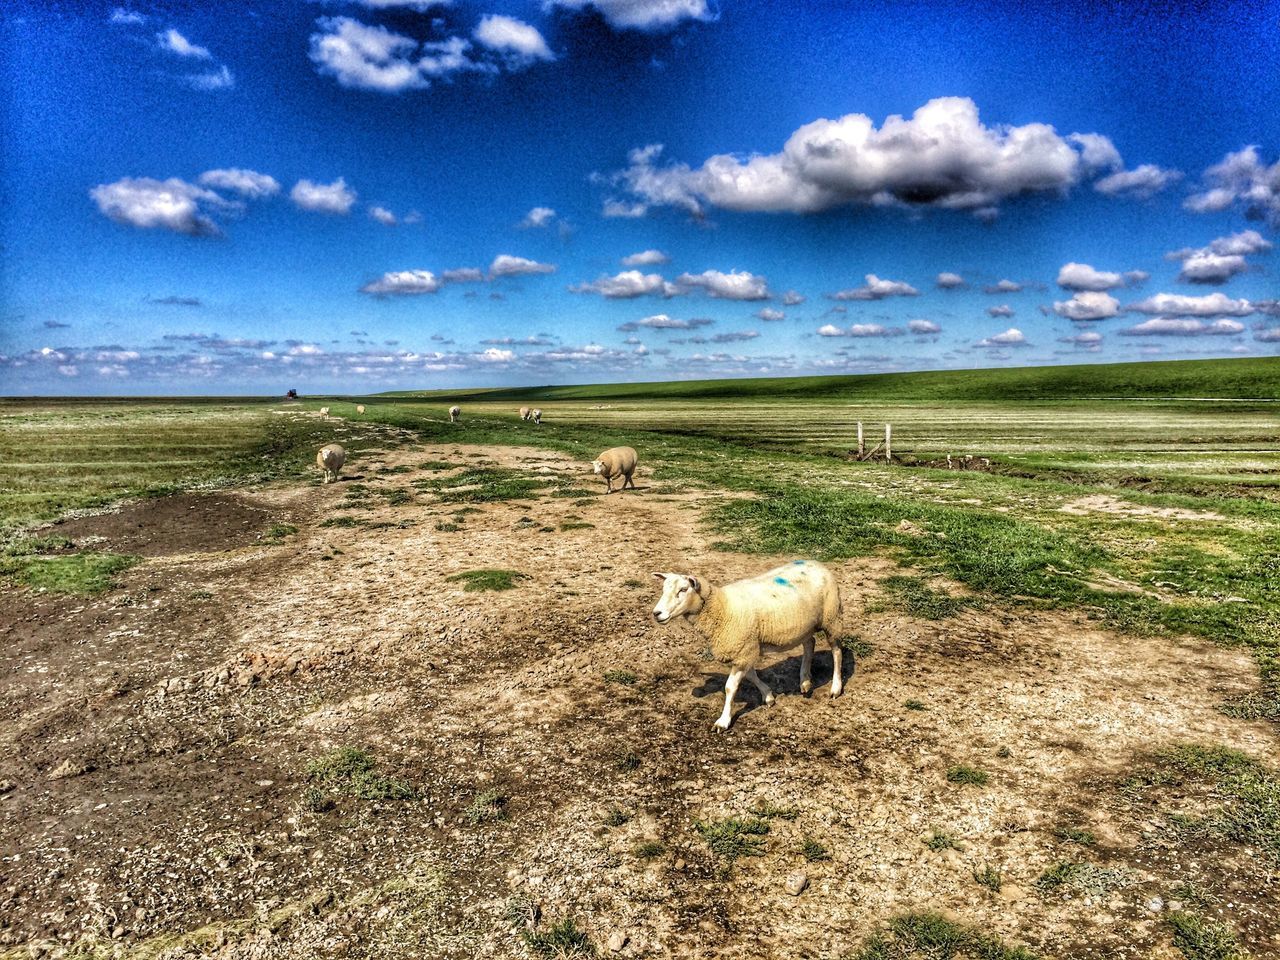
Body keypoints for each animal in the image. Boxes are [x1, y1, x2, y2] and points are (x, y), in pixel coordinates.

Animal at [655, 560, 844, 732]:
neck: (722, 607)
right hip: (805, 625)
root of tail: (817, 563)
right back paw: (805, 681)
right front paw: (768, 696)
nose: (656, 613)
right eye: (663, 589)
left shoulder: (743, 650)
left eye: (683, 589)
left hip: (832, 618)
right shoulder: (745, 650)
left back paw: (835, 688)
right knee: (809, 644)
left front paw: (723, 721)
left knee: (836, 652)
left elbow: (730, 687)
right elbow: (751, 676)